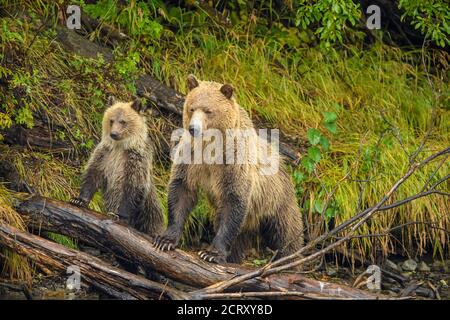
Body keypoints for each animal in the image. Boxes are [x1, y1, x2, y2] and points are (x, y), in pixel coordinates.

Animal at [153, 75, 304, 262]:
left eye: (208, 111)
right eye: (191, 108)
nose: (193, 129)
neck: (211, 147)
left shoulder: (233, 162)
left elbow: (233, 200)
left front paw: (211, 253)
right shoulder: (192, 157)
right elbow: (182, 190)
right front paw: (165, 240)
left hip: (276, 201)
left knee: (287, 234)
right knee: (240, 242)